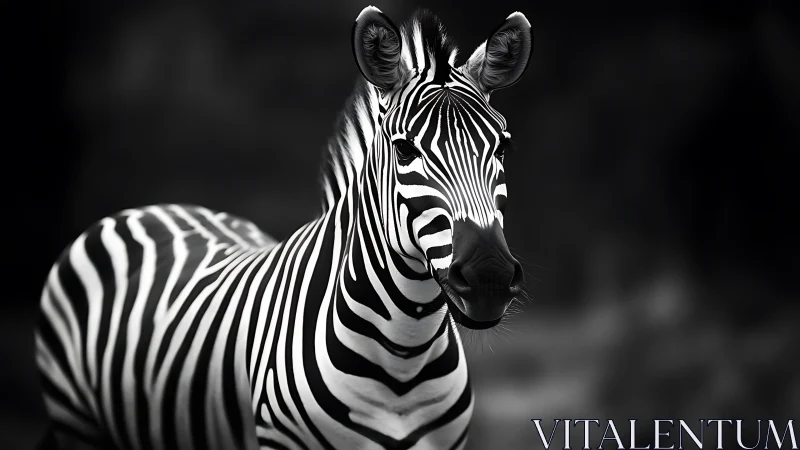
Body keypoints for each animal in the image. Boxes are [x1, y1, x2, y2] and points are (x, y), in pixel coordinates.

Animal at [36, 6, 533, 450]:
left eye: (503, 148)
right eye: (405, 150)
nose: (489, 276)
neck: (403, 355)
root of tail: (153, 207)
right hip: (75, 418)